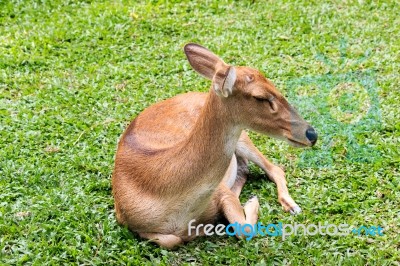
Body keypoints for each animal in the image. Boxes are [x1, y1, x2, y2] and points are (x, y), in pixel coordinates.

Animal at [112, 42, 318, 248]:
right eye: (260, 97)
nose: (312, 134)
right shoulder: (126, 219)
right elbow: (171, 239)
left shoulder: (219, 189)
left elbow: (244, 229)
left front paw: (250, 203)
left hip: (244, 137)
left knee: (274, 168)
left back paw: (291, 206)